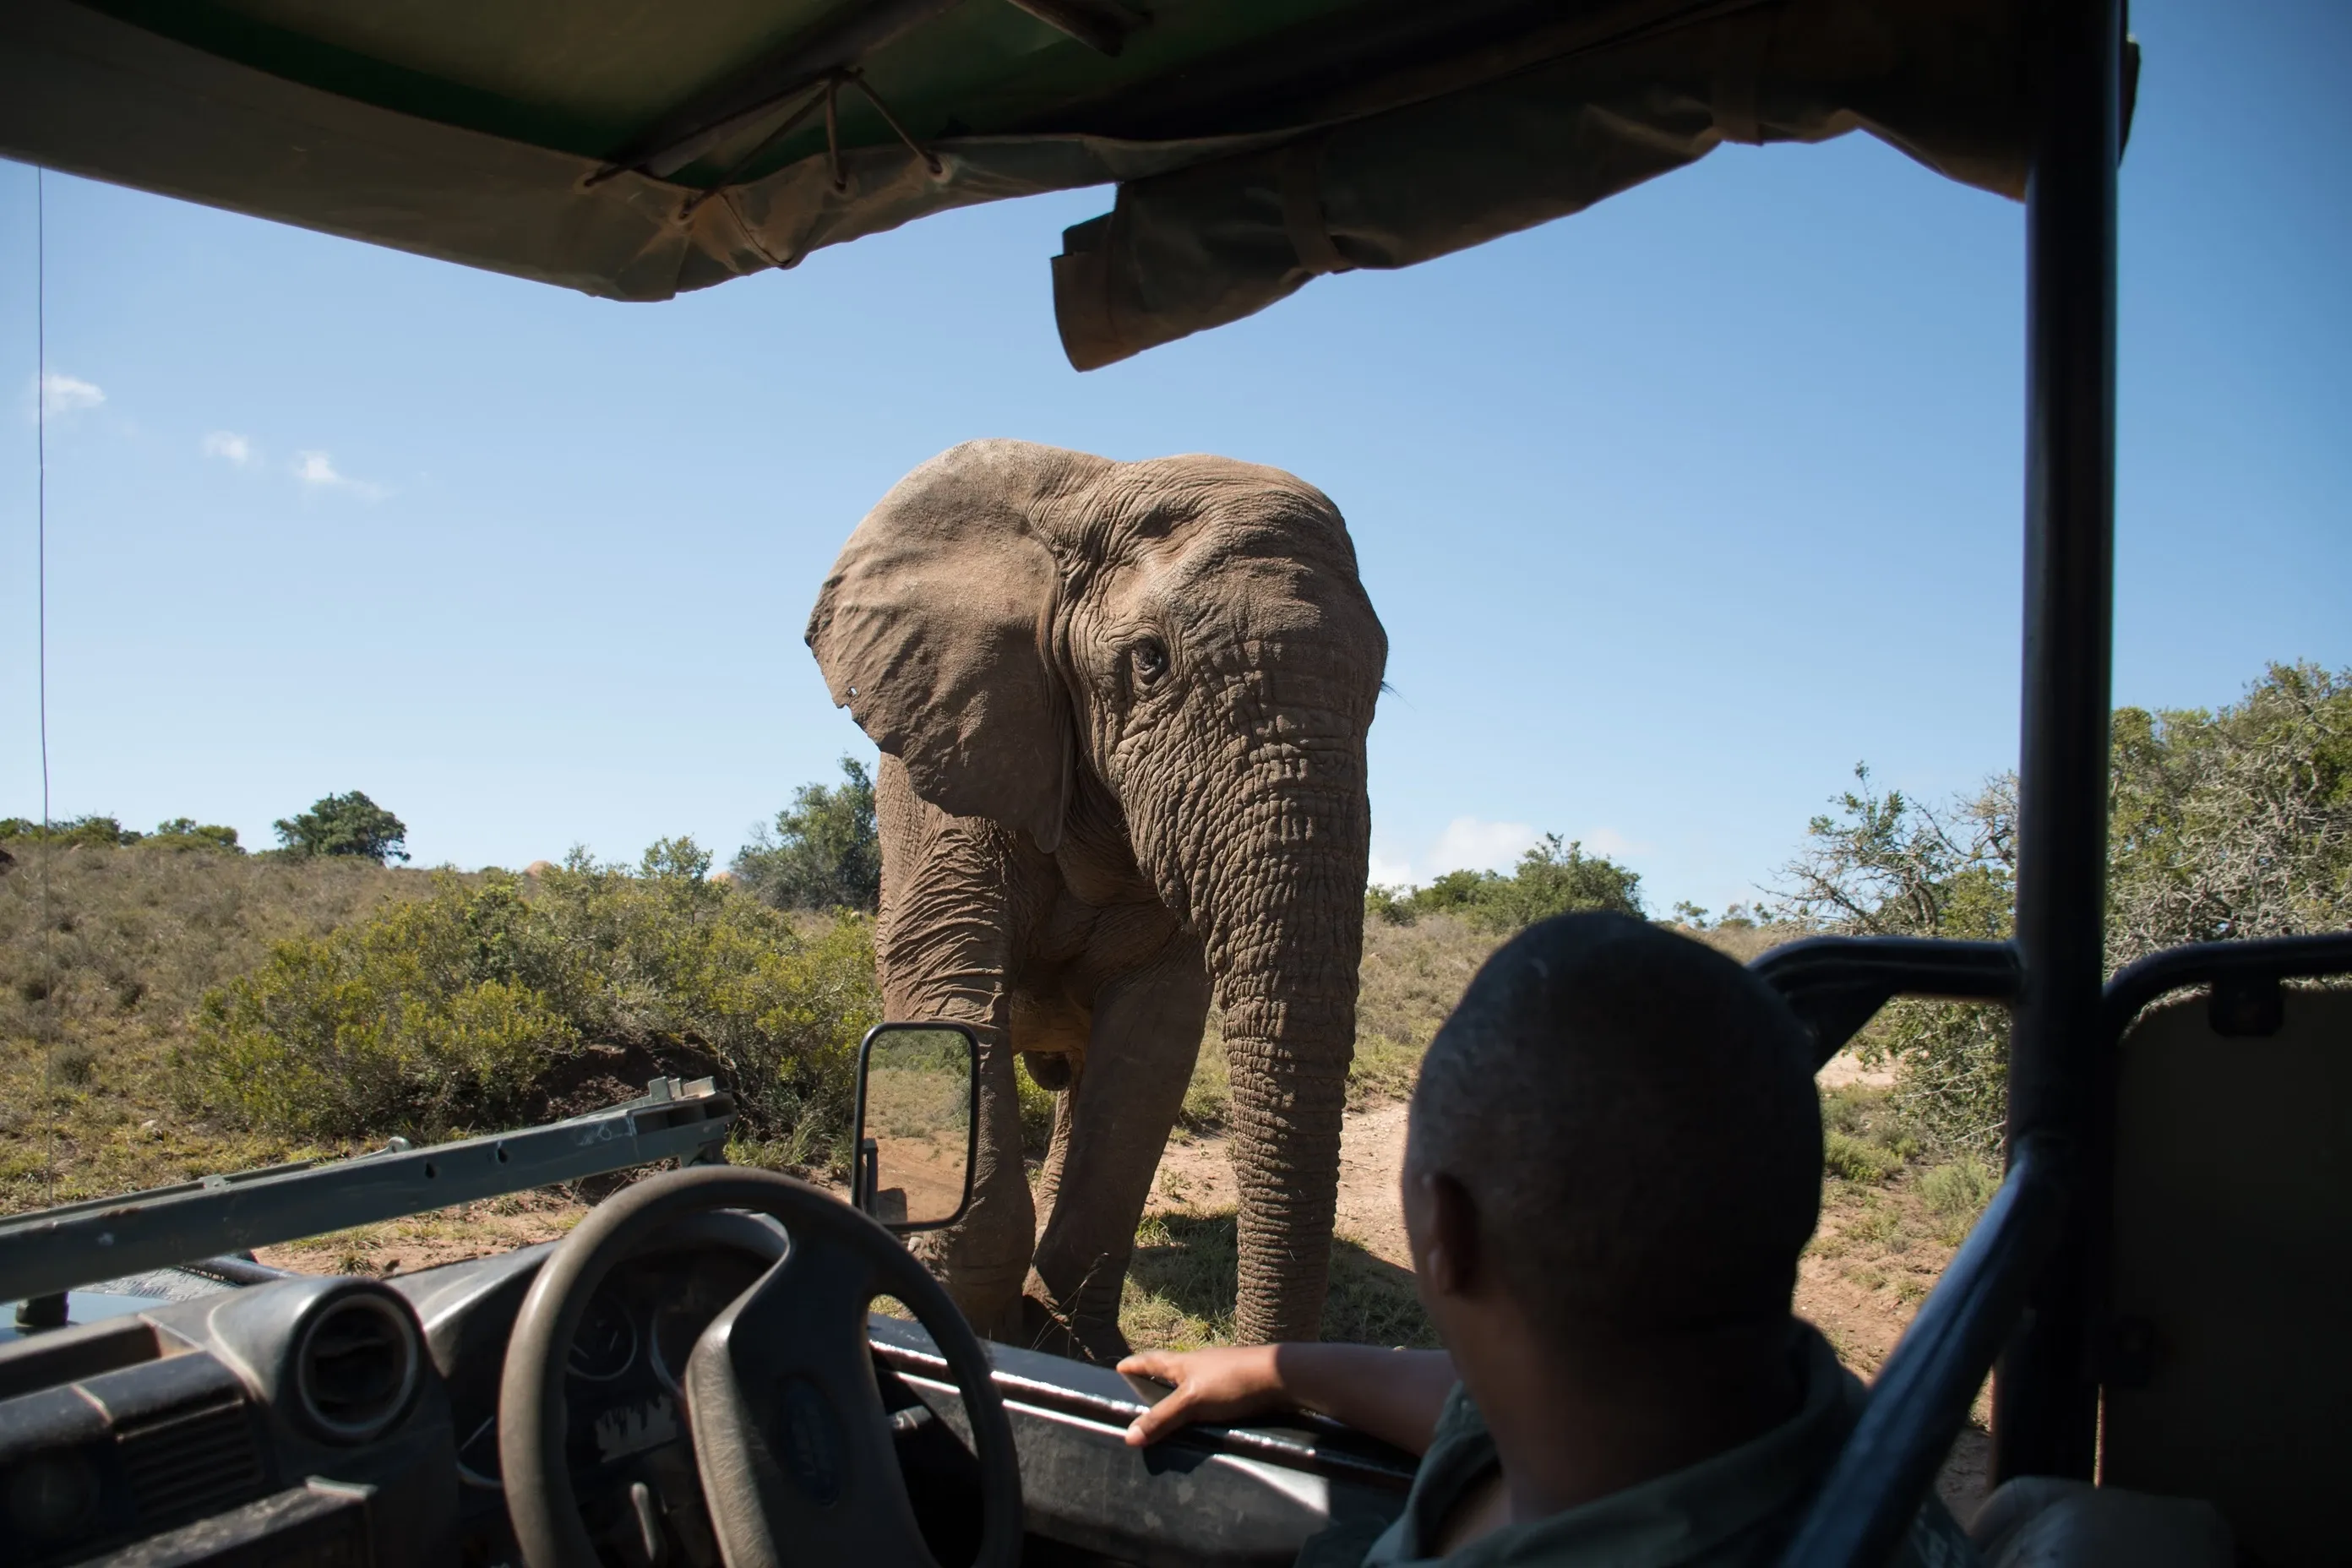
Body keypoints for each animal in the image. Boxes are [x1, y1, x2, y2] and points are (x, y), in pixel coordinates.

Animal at [805, 439, 1386, 1357]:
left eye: (1380, 691)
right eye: (1149, 661)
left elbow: (1150, 1046)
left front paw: (1074, 1349)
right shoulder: (959, 741)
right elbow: (946, 964)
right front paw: (978, 1327)